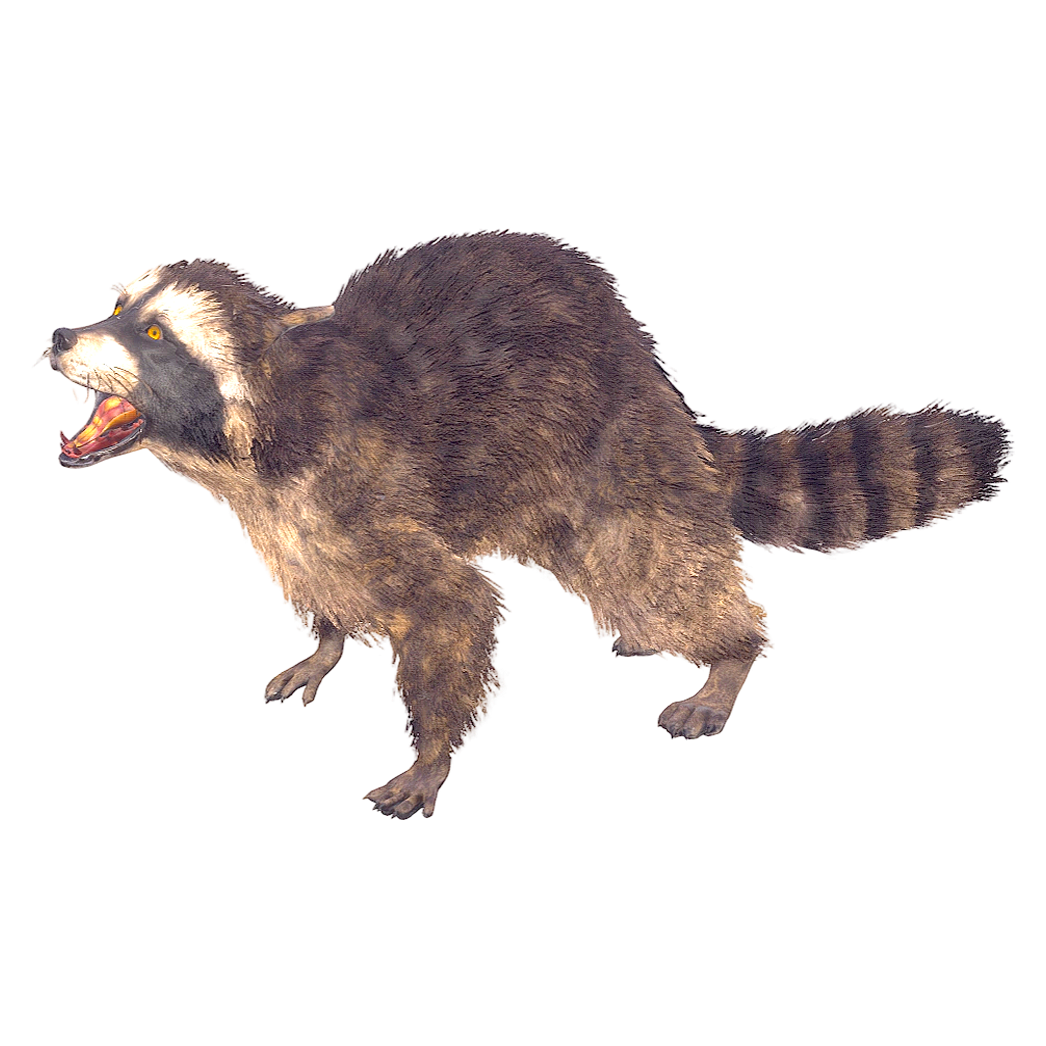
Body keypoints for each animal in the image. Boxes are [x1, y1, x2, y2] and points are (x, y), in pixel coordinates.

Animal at [47, 232, 1014, 819]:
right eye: (123, 311)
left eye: (156, 335)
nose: (55, 338)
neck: (261, 424)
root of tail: (645, 362)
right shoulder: (293, 519)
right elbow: (320, 581)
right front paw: (324, 642)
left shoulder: (356, 487)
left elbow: (454, 609)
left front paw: (432, 754)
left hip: (605, 446)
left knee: (649, 565)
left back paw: (734, 654)